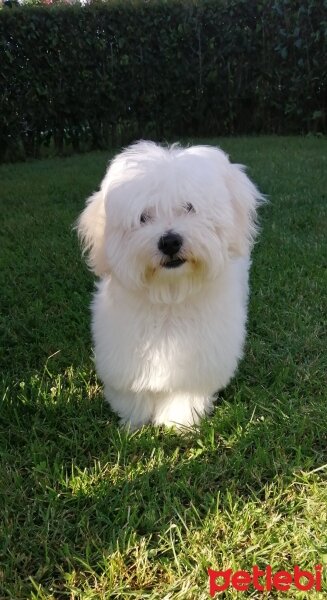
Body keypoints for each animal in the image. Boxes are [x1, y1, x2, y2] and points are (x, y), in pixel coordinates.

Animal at [77, 142, 264, 426]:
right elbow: (133, 393)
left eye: (189, 207)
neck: (170, 294)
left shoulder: (194, 363)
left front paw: (178, 424)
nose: (170, 242)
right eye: (143, 217)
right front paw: (134, 422)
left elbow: (184, 396)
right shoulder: (124, 351)